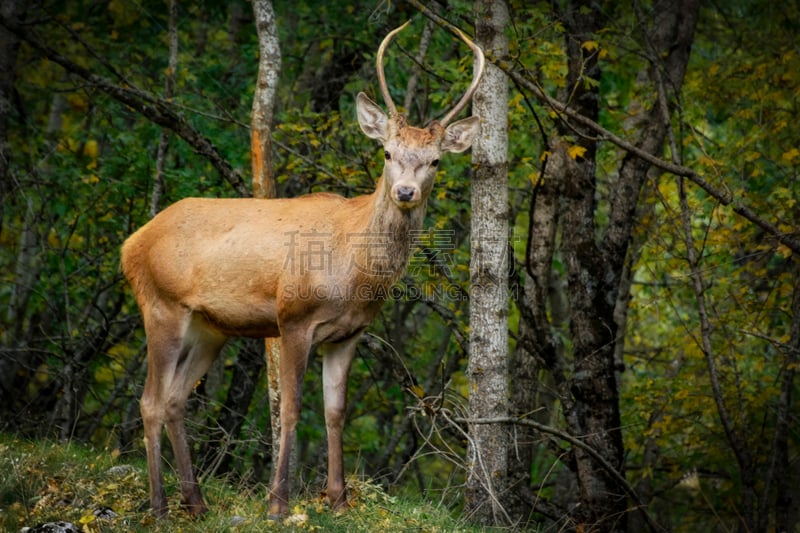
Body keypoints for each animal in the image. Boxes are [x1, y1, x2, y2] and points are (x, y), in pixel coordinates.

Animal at [122, 21, 484, 520]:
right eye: (388, 154)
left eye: (434, 160)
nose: (406, 192)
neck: (354, 274)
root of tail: (130, 244)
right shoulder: (292, 318)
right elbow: (289, 408)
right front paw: (278, 503)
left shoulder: (349, 334)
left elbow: (335, 411)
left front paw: (339, 500)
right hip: (162, 305)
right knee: (151, 401)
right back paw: (159, 505)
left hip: (210, 327)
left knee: (175, 400)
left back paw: (195, 502)